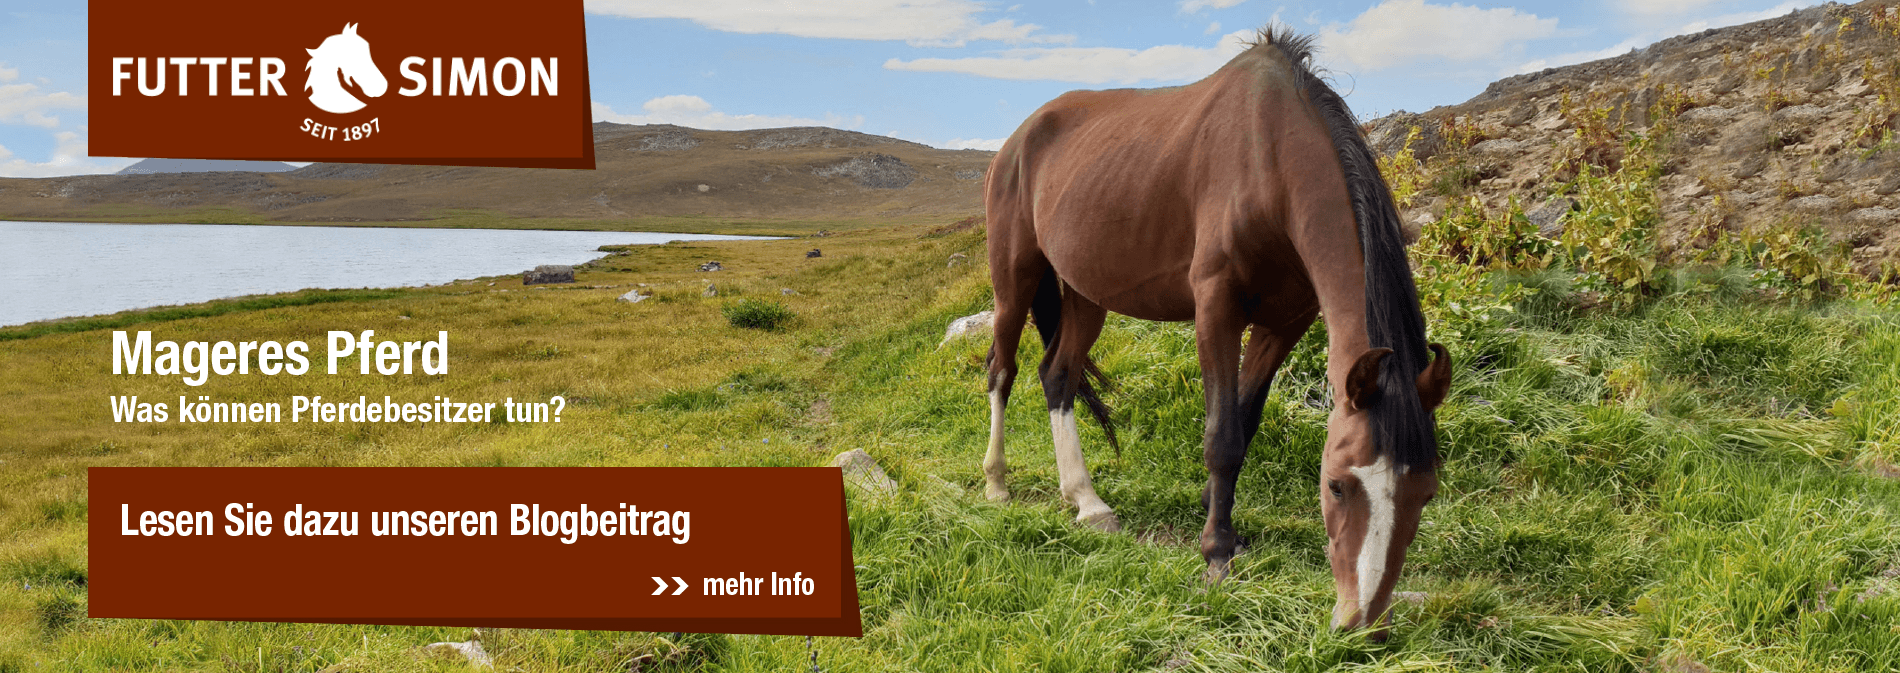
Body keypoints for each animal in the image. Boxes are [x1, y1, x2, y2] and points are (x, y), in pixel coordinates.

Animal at [981, 26, 1452, 636]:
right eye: (1337, 484)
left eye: (1426, 493)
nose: (1361, 621)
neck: (1268, 160)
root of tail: (1017, 141)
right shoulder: (1215, 309)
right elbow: (1222, 435)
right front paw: (1216, 554)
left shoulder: (1284, 323)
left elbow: (1244, 425)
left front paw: (1219, 516)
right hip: (1013, 277)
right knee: (1002, 370)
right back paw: (996, 483)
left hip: (1087, 293)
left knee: (1058, 376)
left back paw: (1086, 501)